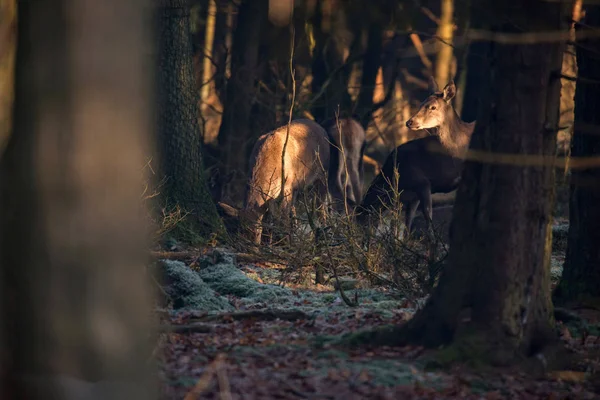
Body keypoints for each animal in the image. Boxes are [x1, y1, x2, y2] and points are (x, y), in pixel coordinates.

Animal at [217, 117, 330, 245]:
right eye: (239, 232)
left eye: (256, 232)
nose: (251, 246)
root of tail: (321, 128)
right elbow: (270, 219)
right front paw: (269, 242)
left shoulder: (287, 186)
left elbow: (283, 217)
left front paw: (285, 243)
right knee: (294, 209)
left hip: (323, 172)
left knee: (321, 204)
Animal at [354, 77, 476, 236]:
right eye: (421, 104)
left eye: (433, 107)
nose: (409, 122)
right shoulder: (411, 196)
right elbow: (407, 225)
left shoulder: (422, 182)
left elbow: (427, 222)